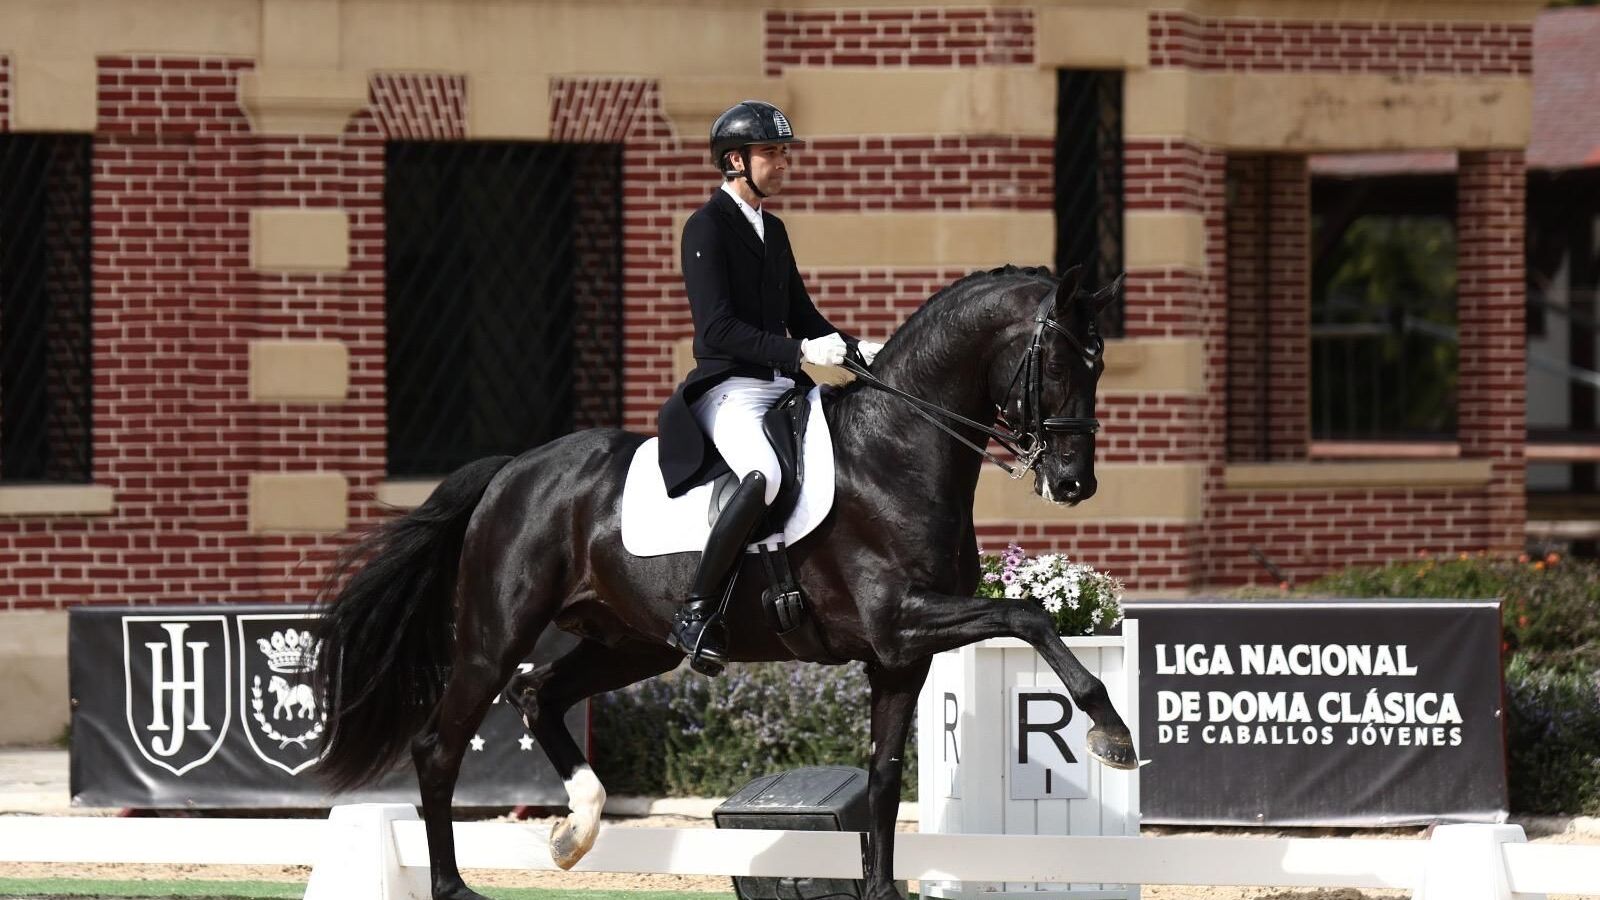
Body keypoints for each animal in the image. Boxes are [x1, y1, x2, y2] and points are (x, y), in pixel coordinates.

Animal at [312, 264, 1138, 900]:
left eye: (1101, 367)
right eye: (1058, 366)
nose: (1074, 484)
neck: (897, 452)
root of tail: (514, 468)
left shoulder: (900, 658)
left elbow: (880, 780)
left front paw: (879, 889)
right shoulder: (901, 618)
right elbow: (1030, 614)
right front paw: (1110, 731)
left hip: (629, 645)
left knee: (538, 694)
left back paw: (576, 831)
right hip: (495, 635)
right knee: (439, 745)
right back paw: (454, 885)